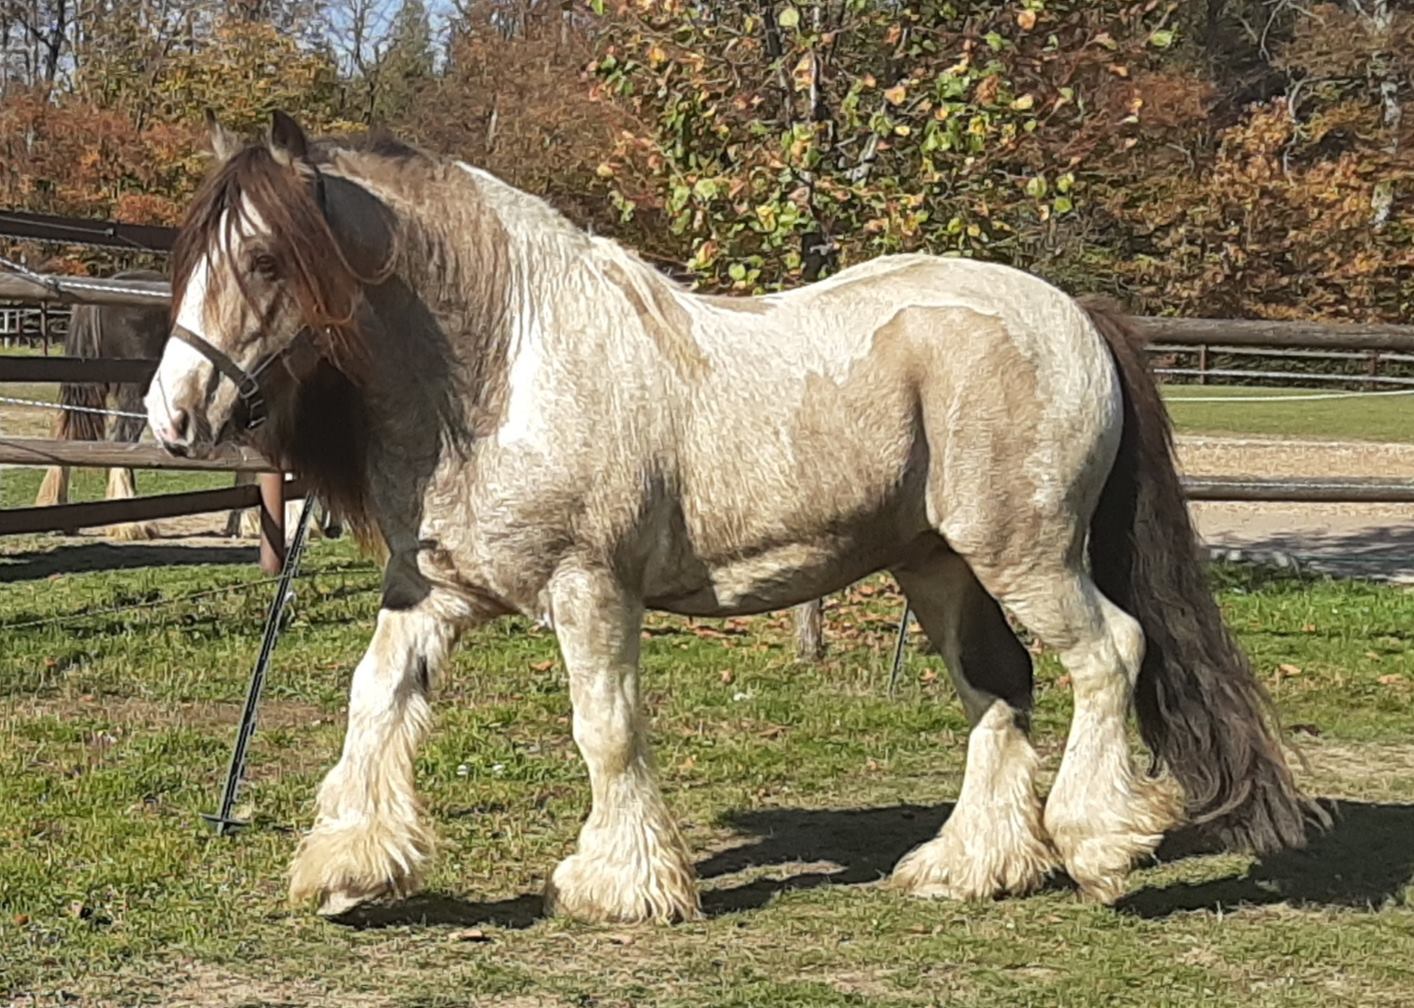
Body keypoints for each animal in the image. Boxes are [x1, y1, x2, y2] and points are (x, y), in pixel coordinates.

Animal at [149, 112, 1317, 921]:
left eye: (264, 259)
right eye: (192, 256)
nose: (172, 414)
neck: (504, 369)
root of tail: (1073, 310)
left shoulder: (592, 591)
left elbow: (606, 729)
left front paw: (620, 885)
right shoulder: (433, 591)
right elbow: (375, 703)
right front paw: (348, 869)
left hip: (1027, 553)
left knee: (1108, 655)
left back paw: (1098, 846)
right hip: (938, 566)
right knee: (1000, 689)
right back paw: (969, 868)